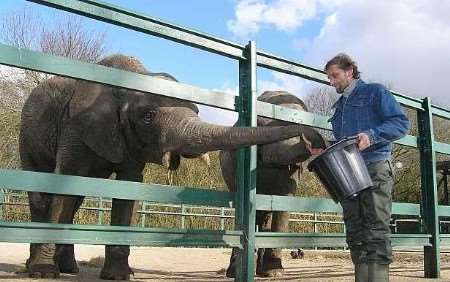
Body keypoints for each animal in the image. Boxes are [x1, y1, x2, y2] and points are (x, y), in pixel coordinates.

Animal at [220, 91, 326, 278]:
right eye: (264, 124)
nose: (308, 140)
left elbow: (284, 201)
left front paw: (274, 272)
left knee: (264, 217)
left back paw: (260, 270)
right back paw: (234, 271)